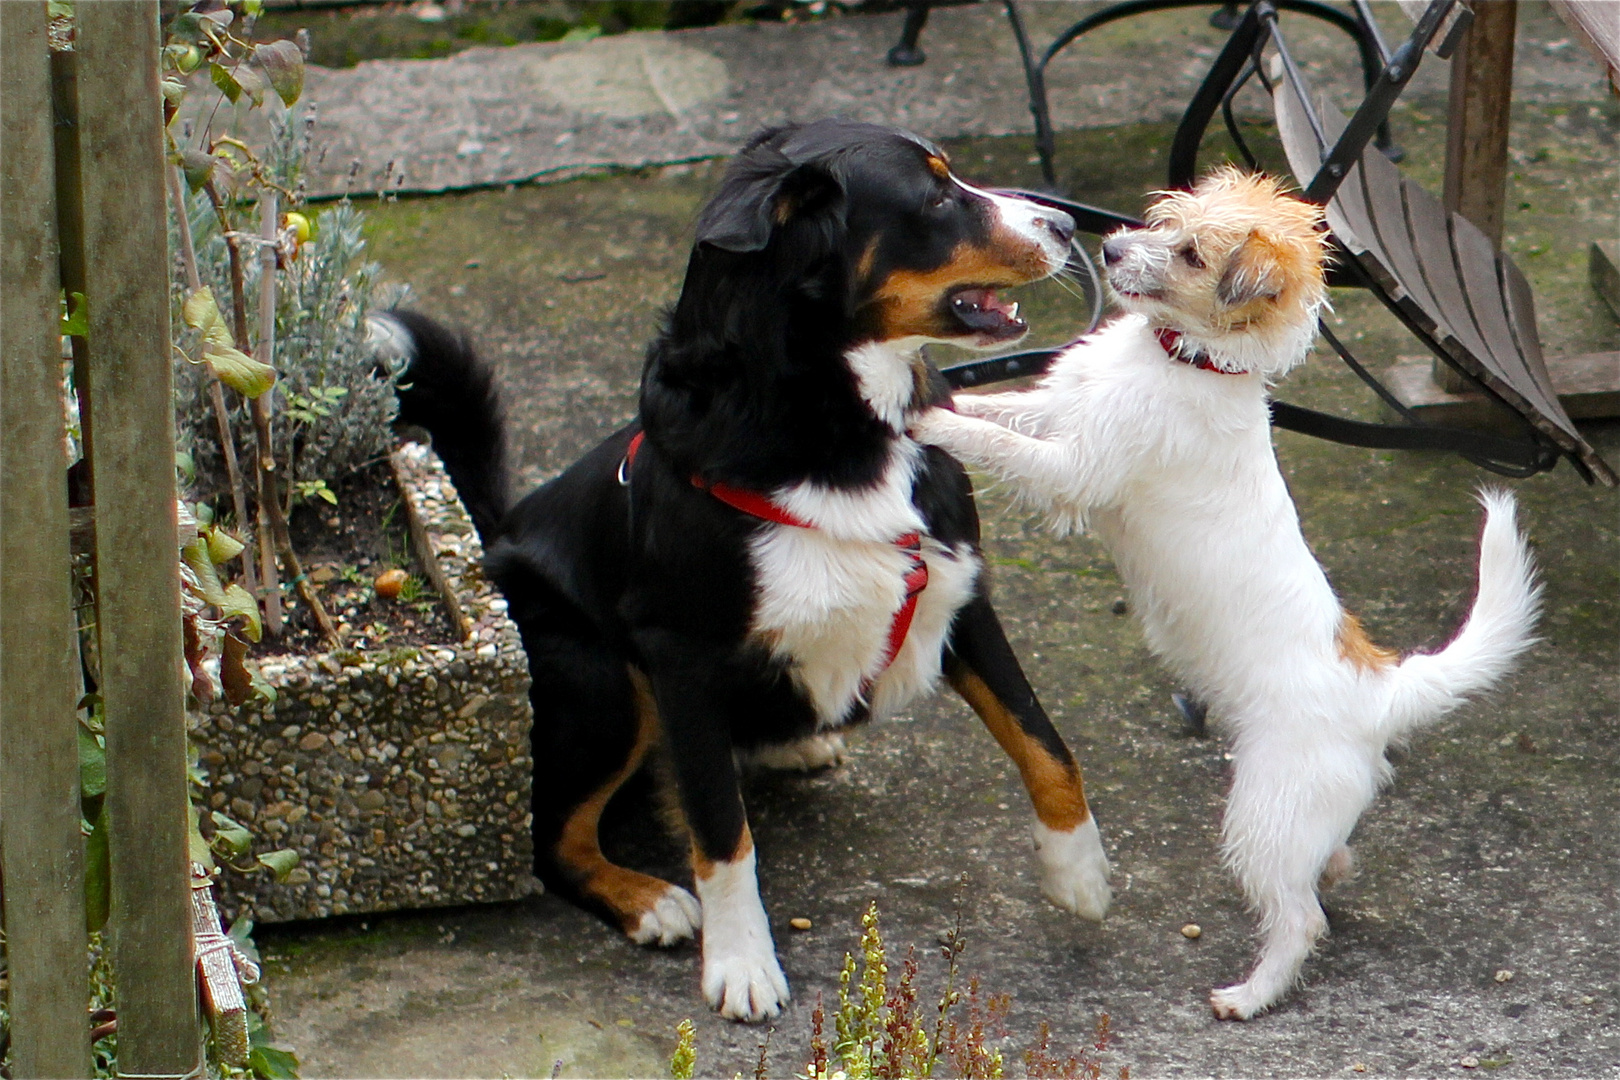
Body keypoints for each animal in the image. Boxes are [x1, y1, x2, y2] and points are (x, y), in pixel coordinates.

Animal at [380, 120, 1114, 1023]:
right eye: (937, 194)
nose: (1068, 225)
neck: (835, 430)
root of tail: (497, 538)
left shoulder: (961, 587)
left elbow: (1044, 739)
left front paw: (1077, 869)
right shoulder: (681, 656)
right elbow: (723, 835)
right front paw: (741, 963)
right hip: (601, 678)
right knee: (554, 837)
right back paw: (647, 899)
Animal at [920, 170, 1535, 1023]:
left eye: (1189, 255)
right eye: (1162, 219)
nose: (1108, 247)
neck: (1185, 360)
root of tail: (1382, 687)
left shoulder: (1073, 467)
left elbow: (1000, 443)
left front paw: (926, 418)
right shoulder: (1058, 413)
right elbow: (1000, 411)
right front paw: (939, 395)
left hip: (1264, 815)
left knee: (1300, 918)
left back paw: (1251, 994)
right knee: (1326, 865)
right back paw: (1330, 873)